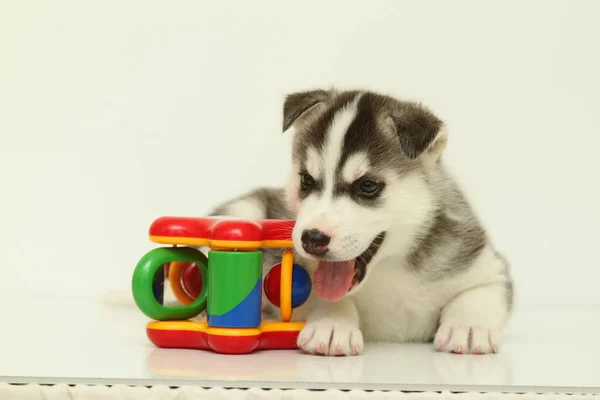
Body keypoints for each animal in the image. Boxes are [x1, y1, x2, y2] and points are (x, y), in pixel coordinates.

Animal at [209, 90, 512, 356]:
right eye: (306, 179)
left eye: (367, 186)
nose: (312, 239)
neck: (388, 268)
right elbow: (324, 297)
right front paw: (333, 324)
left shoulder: (485, 266)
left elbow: (477, 295)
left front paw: (469, 328)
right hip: (242, 210)